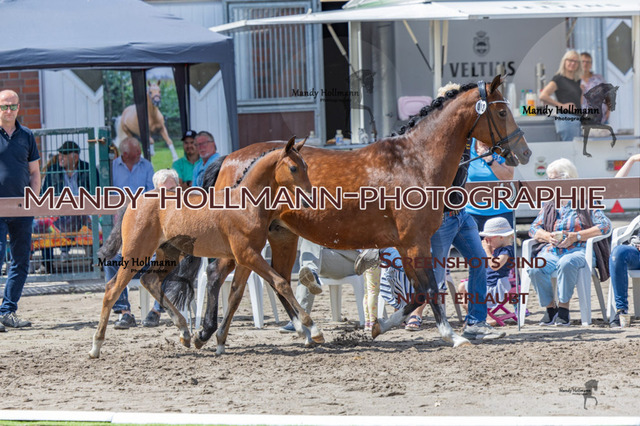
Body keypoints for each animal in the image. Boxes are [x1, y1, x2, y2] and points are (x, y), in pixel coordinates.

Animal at [89, 137, 312, 359]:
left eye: (306, 166)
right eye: (293, 168)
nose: (309, 198)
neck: (245, 204)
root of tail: (135, 199)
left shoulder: (246, 258)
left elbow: (236, 295)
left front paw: (219, 340)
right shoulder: (247, 255)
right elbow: (281, 282)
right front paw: (308, 323)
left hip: (169, 254)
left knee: (149, 280)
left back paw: (185, 332)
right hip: (136, 253)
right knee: (112, 290)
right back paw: (96, 346)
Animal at [155, 75, 532, 355]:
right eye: (501, 112)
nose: (523, 151)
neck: (414, 161)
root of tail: (229, 159)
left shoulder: (407, 244)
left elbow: (418, 293)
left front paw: (380, 326)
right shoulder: (415, 242)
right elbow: (429, 290)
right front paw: (452, 335)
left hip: (278, 235)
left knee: (266, 279)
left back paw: (292, 331)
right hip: (247, 240)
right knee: (222, 276)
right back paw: (213, 333)